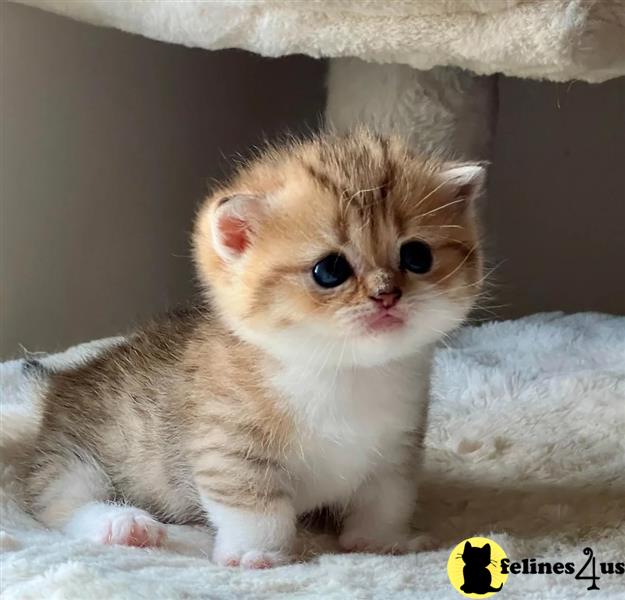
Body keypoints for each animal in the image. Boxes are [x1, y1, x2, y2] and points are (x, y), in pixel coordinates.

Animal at [22, 130, 486, 568]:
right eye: (330, 270)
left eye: (417, 256)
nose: (387, 295)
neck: (344, 372)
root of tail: (61, 380)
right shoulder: (229, 449)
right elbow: (256, 509)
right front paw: (255, 553)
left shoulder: (396, 452)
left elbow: (386, 503)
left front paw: (383, 541)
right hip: (75, 456)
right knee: (60, 502)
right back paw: (122, 522)